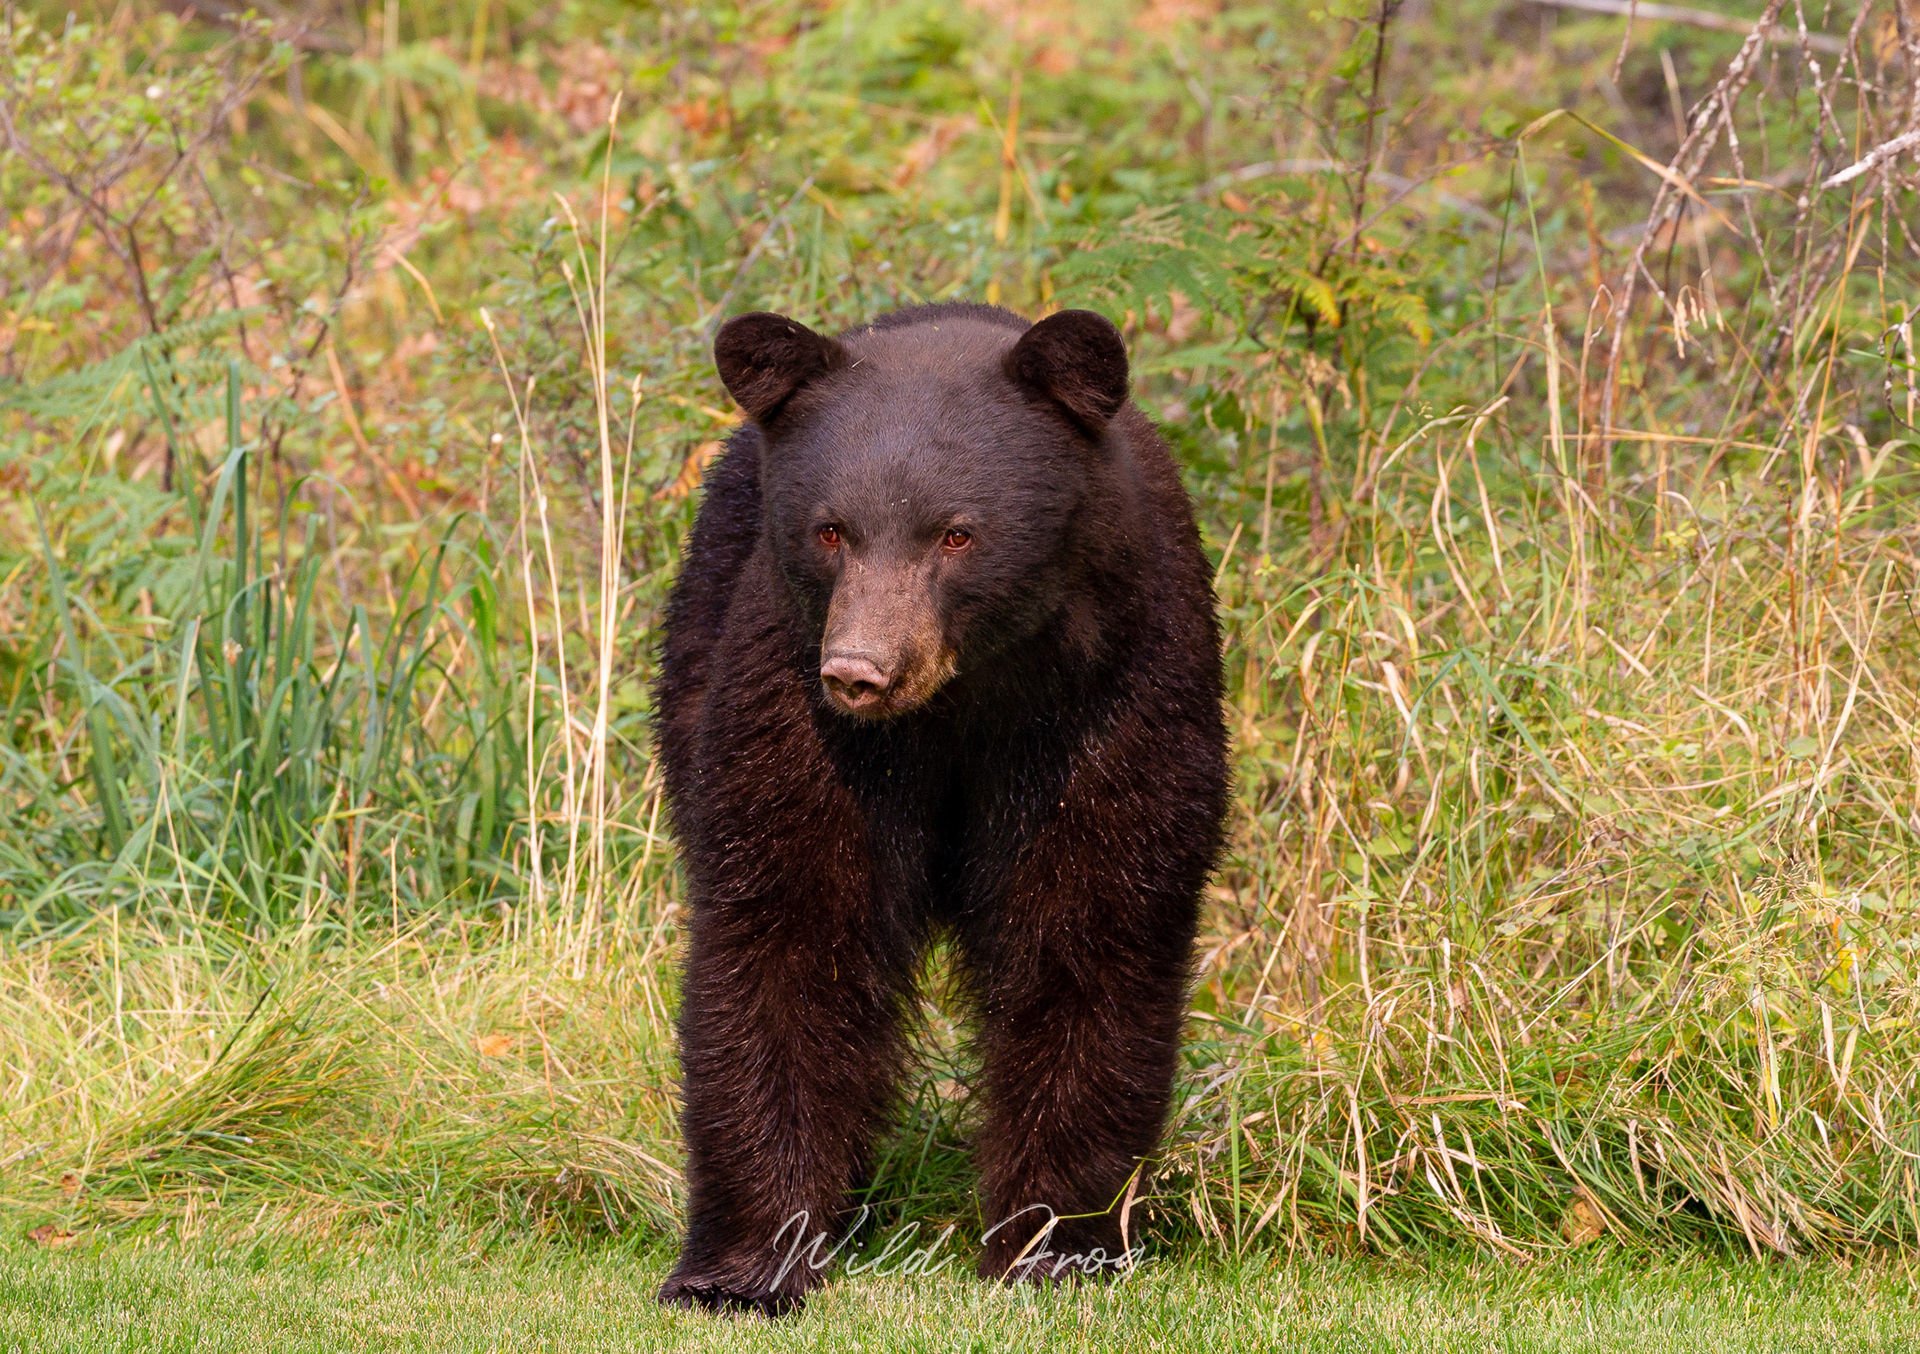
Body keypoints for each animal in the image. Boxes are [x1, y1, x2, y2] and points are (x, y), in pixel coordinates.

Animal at [653, 302, 1228, 1314]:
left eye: (955, 535)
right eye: (831, 531)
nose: (860, 671)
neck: (966, 701)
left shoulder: (1114, 702)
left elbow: (1089, 930)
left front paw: (1051, 1247)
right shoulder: (796, 708)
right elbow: (792, 925)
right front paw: (746, 1269)